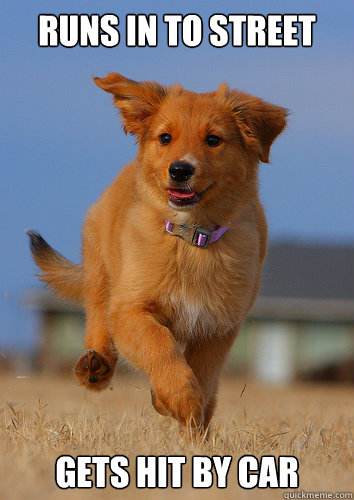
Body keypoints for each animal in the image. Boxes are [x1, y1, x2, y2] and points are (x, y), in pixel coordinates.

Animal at [27, 72, 288, 432]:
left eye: (213, 140)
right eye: (165, 138)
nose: (180, 170)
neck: (191, 239)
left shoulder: (219, 327)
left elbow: (203, 375)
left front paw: (183, 412)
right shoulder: (131, 310)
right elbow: (160, 347)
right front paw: (178, 398)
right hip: (101, 271)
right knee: (97, 317)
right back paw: (95, 366)